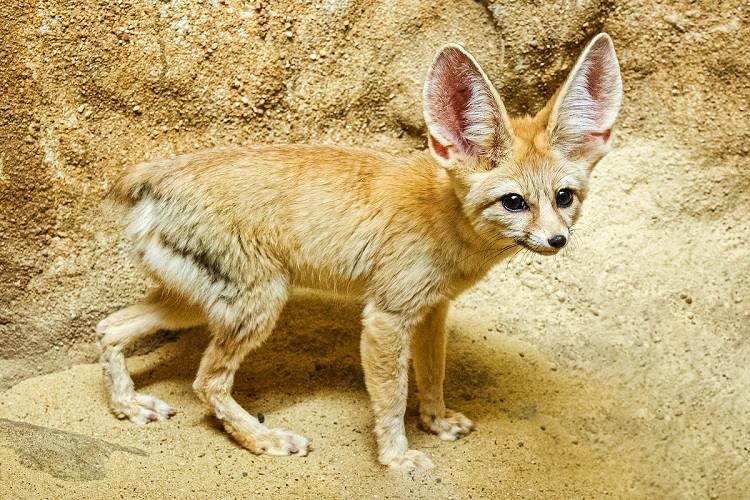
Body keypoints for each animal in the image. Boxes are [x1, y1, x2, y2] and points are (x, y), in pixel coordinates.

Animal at [97, 34, 624, 468]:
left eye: (564, 197)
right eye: (514, 202)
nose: (557, 240)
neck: (446, 218)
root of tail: (157, 172)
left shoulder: (432, 310)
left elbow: (432, 375)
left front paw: (436, 423)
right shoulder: (386, 316)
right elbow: (390, 398)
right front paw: (397, 459)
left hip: (194, 304)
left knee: (109, 329)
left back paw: (128, 407)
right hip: (258, 304)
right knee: (206, 383)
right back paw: (265, 440)